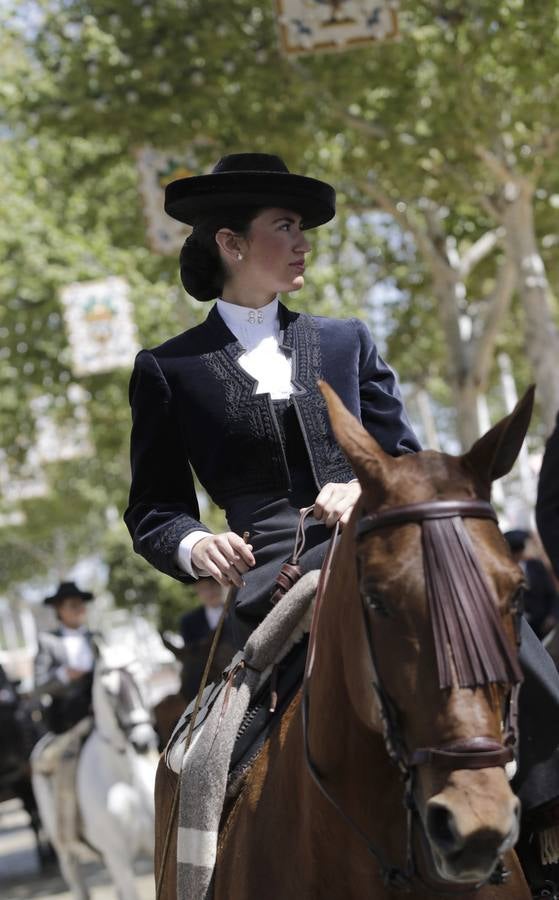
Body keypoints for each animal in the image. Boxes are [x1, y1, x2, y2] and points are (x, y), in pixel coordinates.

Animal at [31, 648, 160, 900]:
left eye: (142, 679)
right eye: (109, 690)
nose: (142, 741)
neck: (126, 778)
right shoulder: (117, 858)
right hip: (67, 855)